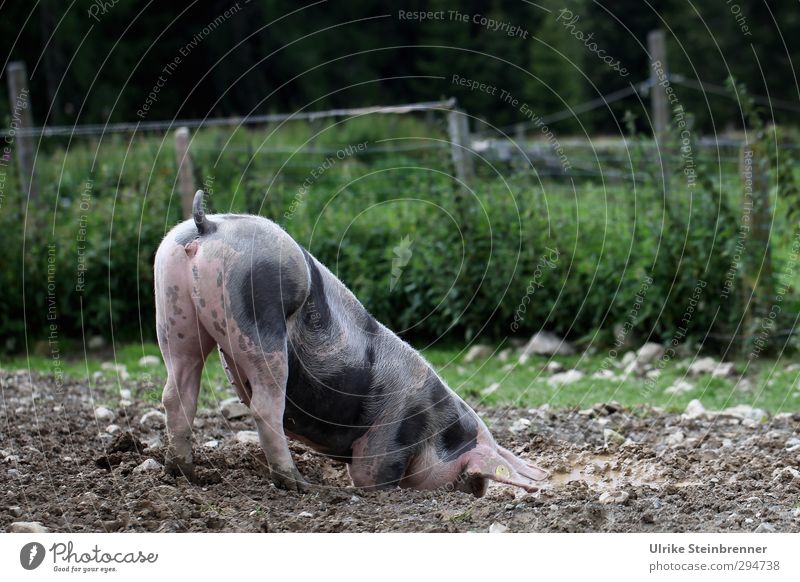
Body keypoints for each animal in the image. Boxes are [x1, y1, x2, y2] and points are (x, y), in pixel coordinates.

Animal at [153, 192, 548, 498]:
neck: (435, 427)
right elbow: (370, 476)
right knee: (265, 406)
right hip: (260, 318)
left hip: (172, 308)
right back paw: (300, 485)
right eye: (471, 475)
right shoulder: (388, 436)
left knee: (177, 393)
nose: (475, 492)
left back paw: (185, 474)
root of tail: (208, 226)